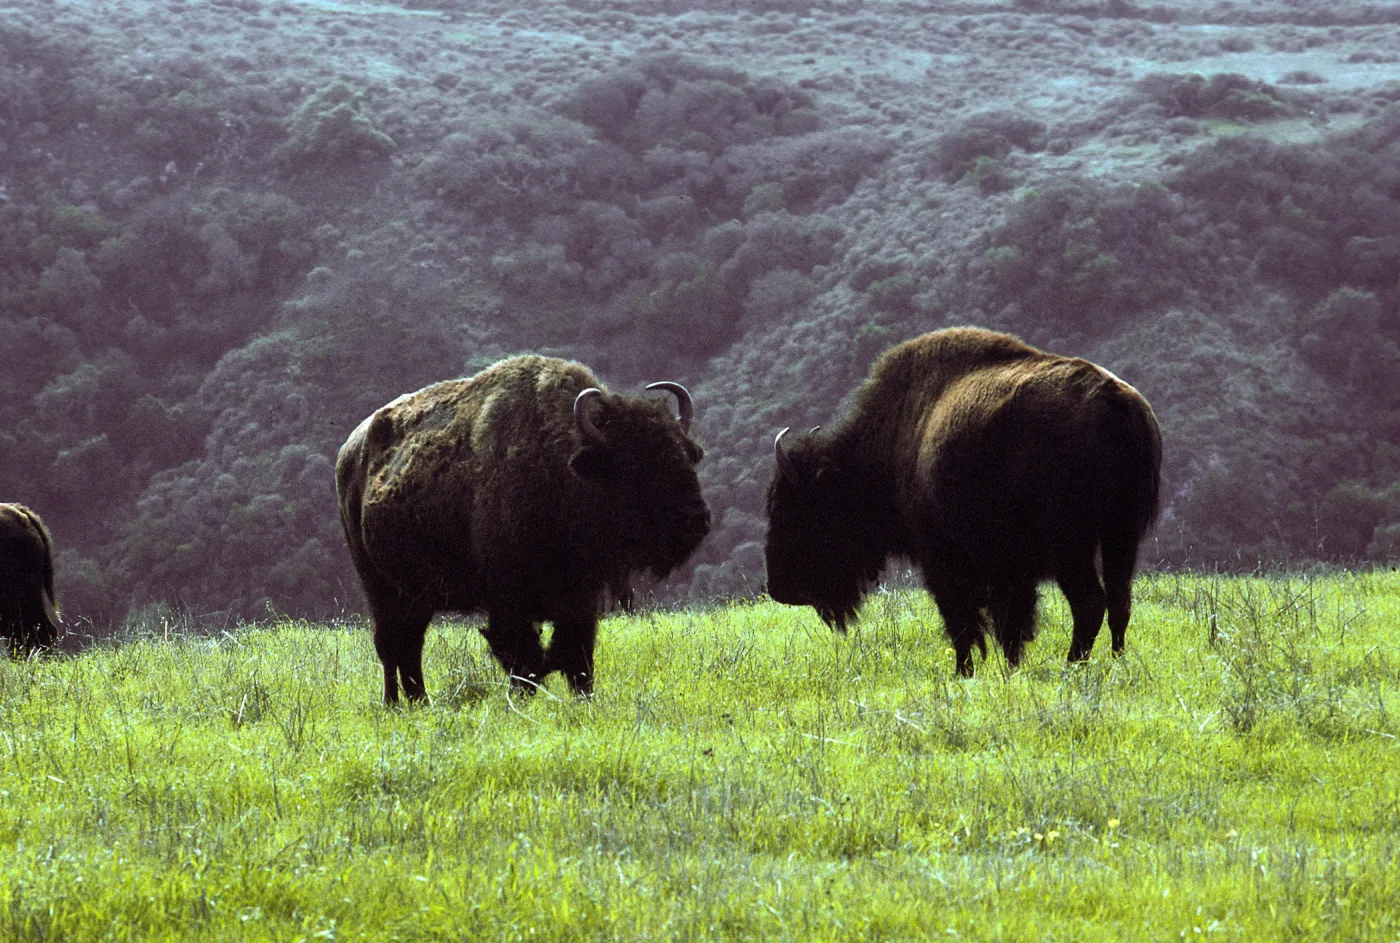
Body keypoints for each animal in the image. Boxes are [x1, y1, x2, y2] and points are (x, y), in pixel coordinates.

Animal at [336, 355, 710, 703]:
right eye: (637, 461)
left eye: (687, 453)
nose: (697, 519)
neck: (564, 466)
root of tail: (350, 451)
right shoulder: (508, 603)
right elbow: (525, 660)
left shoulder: (581, 600)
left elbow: (578, 659)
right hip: (380, 587)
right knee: (391, 646)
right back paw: (394, 705)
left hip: (416, 595)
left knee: (409, 646)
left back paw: (420, 703)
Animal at [765, 327, 1161, 676]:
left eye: (792, 509)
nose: (779, 588)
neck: (899, 437)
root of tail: (1116, 401)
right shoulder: (1010, 570)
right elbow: (1010, 623)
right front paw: (1011, 669)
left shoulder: (943, 561)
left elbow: (963, 622)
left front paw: (964, 672)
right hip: (1121, 536)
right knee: (1119, 601)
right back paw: (1116, 662)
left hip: (1070, 546)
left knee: (1090, 603)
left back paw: (1072, 667)